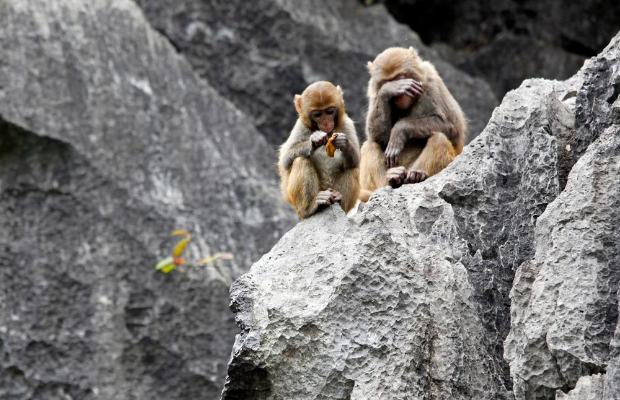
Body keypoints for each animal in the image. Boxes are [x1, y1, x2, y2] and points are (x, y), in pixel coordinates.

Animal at [278, 81, 360, 219]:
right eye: (317, 114)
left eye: (329, 111)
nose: (326, 123)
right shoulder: (301, 126)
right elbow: (285, 159)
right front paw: (314, 140)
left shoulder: (346, 123)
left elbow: (357, 160)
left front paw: (344, 143)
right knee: (301, 160)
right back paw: (311, 207)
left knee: (352, 167)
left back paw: (339, 200)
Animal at [358, 47, 464, 202]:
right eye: (388, 80)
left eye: (401, 76)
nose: (400, 95)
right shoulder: (374, 93)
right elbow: (378, 137)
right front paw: (389, 89)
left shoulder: (432, 80)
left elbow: (453, 126)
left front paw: (400, 129)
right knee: (369, 145)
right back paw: (391, 179)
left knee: (439, 138)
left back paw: (416, 175)